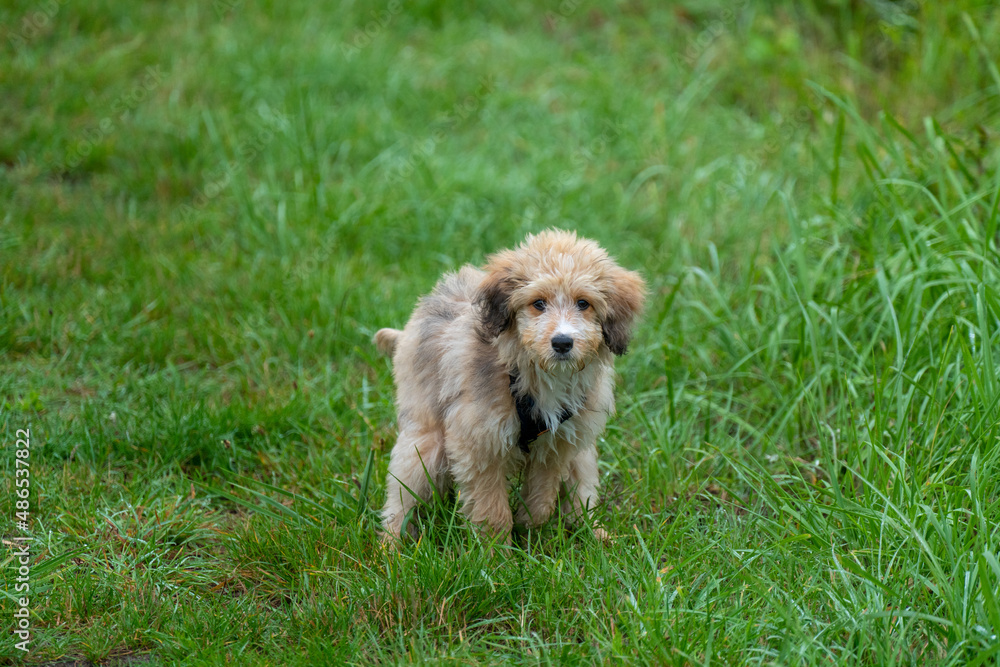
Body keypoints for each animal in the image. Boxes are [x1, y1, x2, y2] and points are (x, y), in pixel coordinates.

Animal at [372, 232, 644, 544]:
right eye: (538, 303)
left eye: (583, 303)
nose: (562, 342)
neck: (536, 375)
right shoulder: (478, 443)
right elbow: (493, 511)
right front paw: (496, 551)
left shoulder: (558, 444)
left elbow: (541, 496)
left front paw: (529, 531)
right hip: (425, 441)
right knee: (402, 496)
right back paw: (391, 545)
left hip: (581, 453)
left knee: (580, 493)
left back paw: (594, 533)